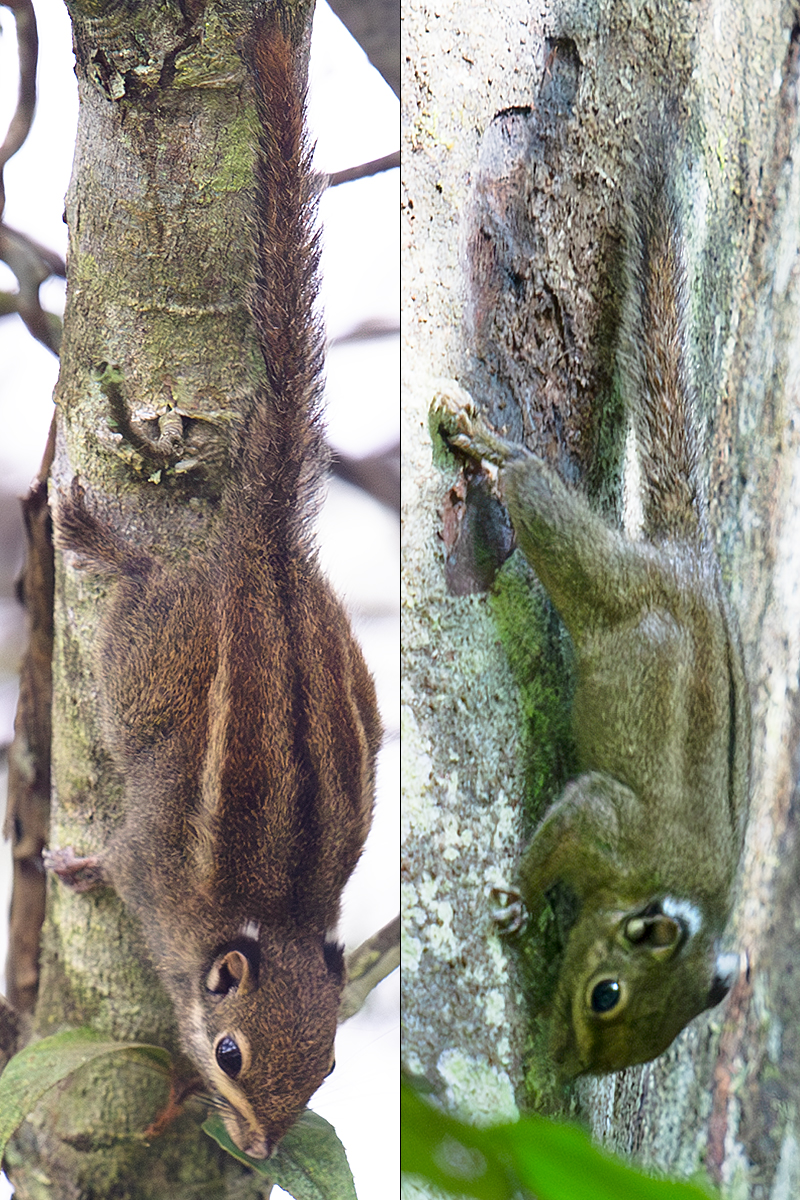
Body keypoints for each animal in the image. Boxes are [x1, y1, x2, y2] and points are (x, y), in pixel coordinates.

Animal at [43, 7, 381, 1152]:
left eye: (328, 1068)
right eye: (229, 1056)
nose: (262, 1147)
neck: (270, 919)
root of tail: (267, 556)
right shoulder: (153, 867)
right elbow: (115, 862)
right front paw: (75, 867)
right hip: (143, 648)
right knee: (141, 580)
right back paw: (101, 541)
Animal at [431, 166, 753, 1080]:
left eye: (641, 1051)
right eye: (606, 995)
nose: (564, 1067)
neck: (661, 891)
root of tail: (690, 563)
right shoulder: (604, 819)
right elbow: (564, 831)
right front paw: (517, 898)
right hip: (594, 572)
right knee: (533, 488)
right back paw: (483, 442)